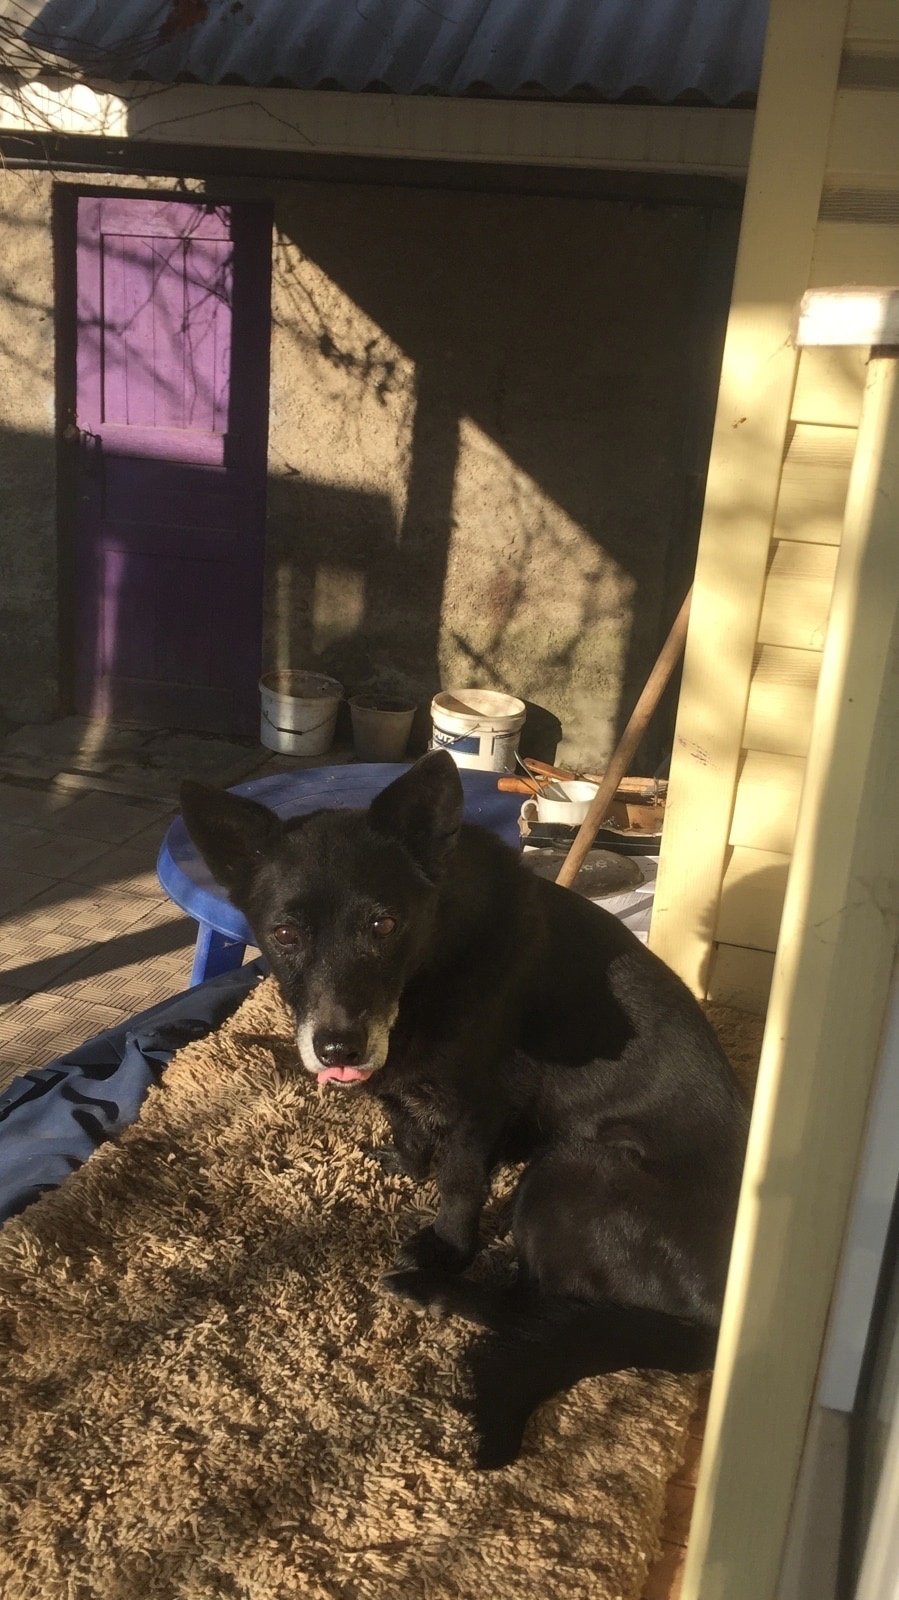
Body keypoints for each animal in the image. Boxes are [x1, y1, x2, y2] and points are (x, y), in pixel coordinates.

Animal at [180, 751, 748, 1467]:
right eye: (283, 933)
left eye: (383, 925)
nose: (338, 1047)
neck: (436, 956)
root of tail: (718, 1324)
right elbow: (405, 1120)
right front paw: (406, 1159)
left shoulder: (481, 1104)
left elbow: (457, 1183)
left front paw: (444, 1248)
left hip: (572, 1170)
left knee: (536, 1309)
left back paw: (437, 1294)